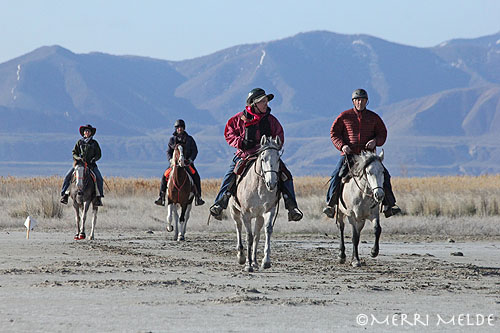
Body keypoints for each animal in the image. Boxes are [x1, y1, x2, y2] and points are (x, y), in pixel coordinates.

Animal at [229, 136, 282, 272]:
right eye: (263, 158)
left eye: (278, 159)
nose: (271, 183)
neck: (258, 187)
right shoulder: (245, 214)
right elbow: (249, 236)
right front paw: (247, 265)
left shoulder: (268, 210)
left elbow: (267, 231)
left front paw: (265, 261)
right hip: (234, 212)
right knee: (238, 227)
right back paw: (242, 257)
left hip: (258, 216)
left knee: (257, 235)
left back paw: (255, 262)